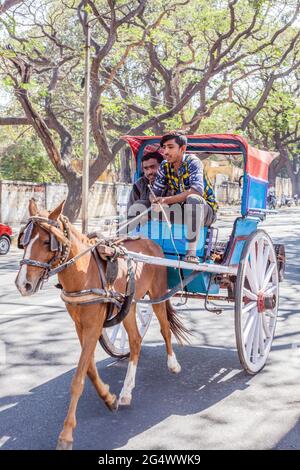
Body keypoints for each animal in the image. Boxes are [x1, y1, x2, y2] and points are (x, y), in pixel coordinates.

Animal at [15, 199, 189, 452]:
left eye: (48, 241)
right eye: (24, 242)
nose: (23, 284)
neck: (83, 270)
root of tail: (152, 242)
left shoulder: (95, 325)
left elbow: (78, 378)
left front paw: (66, 434)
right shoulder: (80, 325)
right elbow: (88, 369)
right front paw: (108, 397)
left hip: (157, 294)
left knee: (165, 328)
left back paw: (172, 364)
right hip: (129, 305)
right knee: (135, 341)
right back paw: (126, 392)